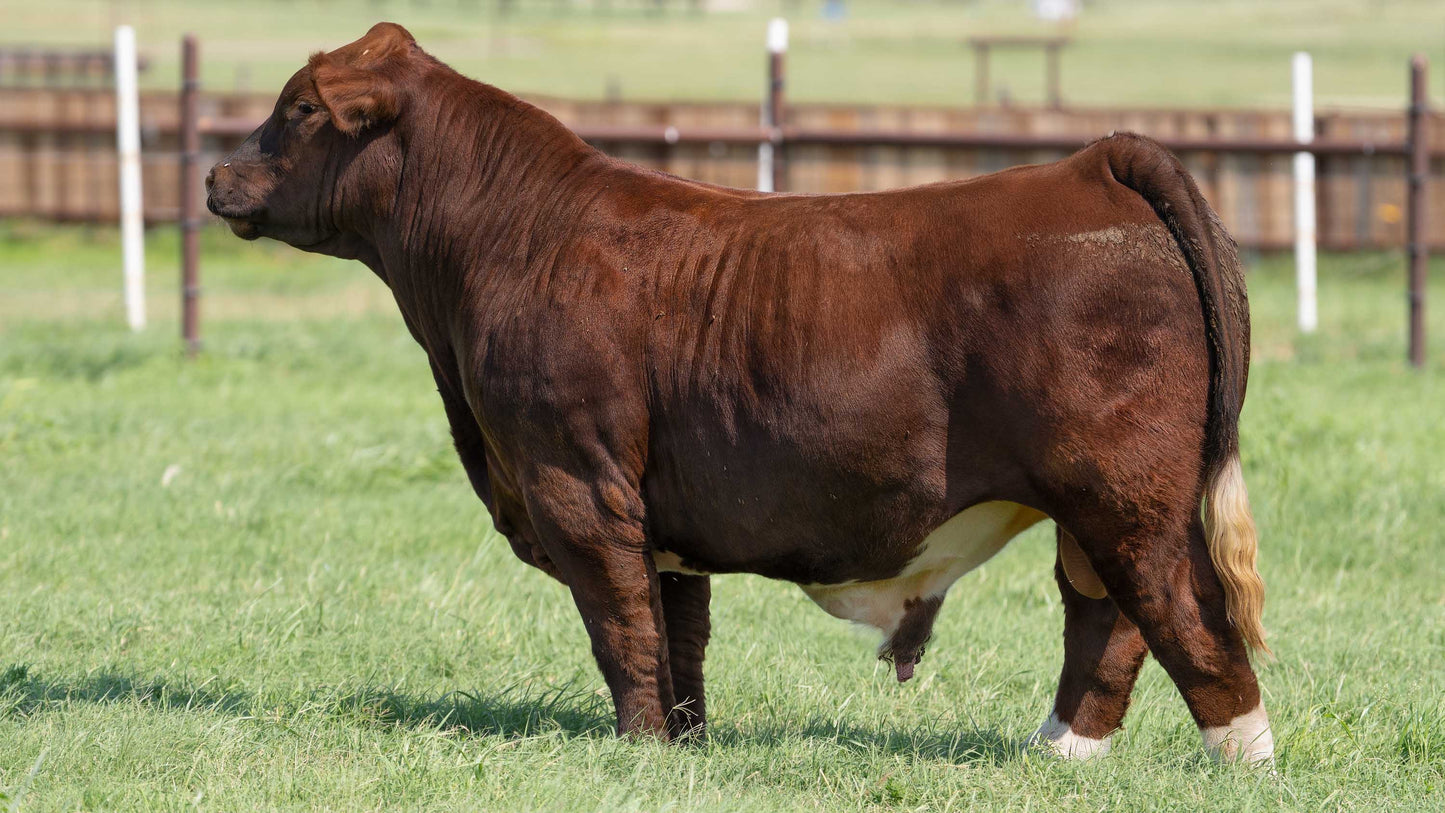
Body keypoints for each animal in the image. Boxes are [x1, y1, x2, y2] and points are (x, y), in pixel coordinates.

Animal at [207, 23, 1273, 763]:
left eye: (300, 110)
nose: (216, 175)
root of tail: (1092, 163)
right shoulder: (660, 515)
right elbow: (676, 635)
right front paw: (682, 744)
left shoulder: (575, 483)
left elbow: (621, 627)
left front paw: (636, 748)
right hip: (1098, 508)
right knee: (1105, 620)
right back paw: (1058, 754)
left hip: (1124, 496)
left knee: (1185, 616)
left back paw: (1240, 759)